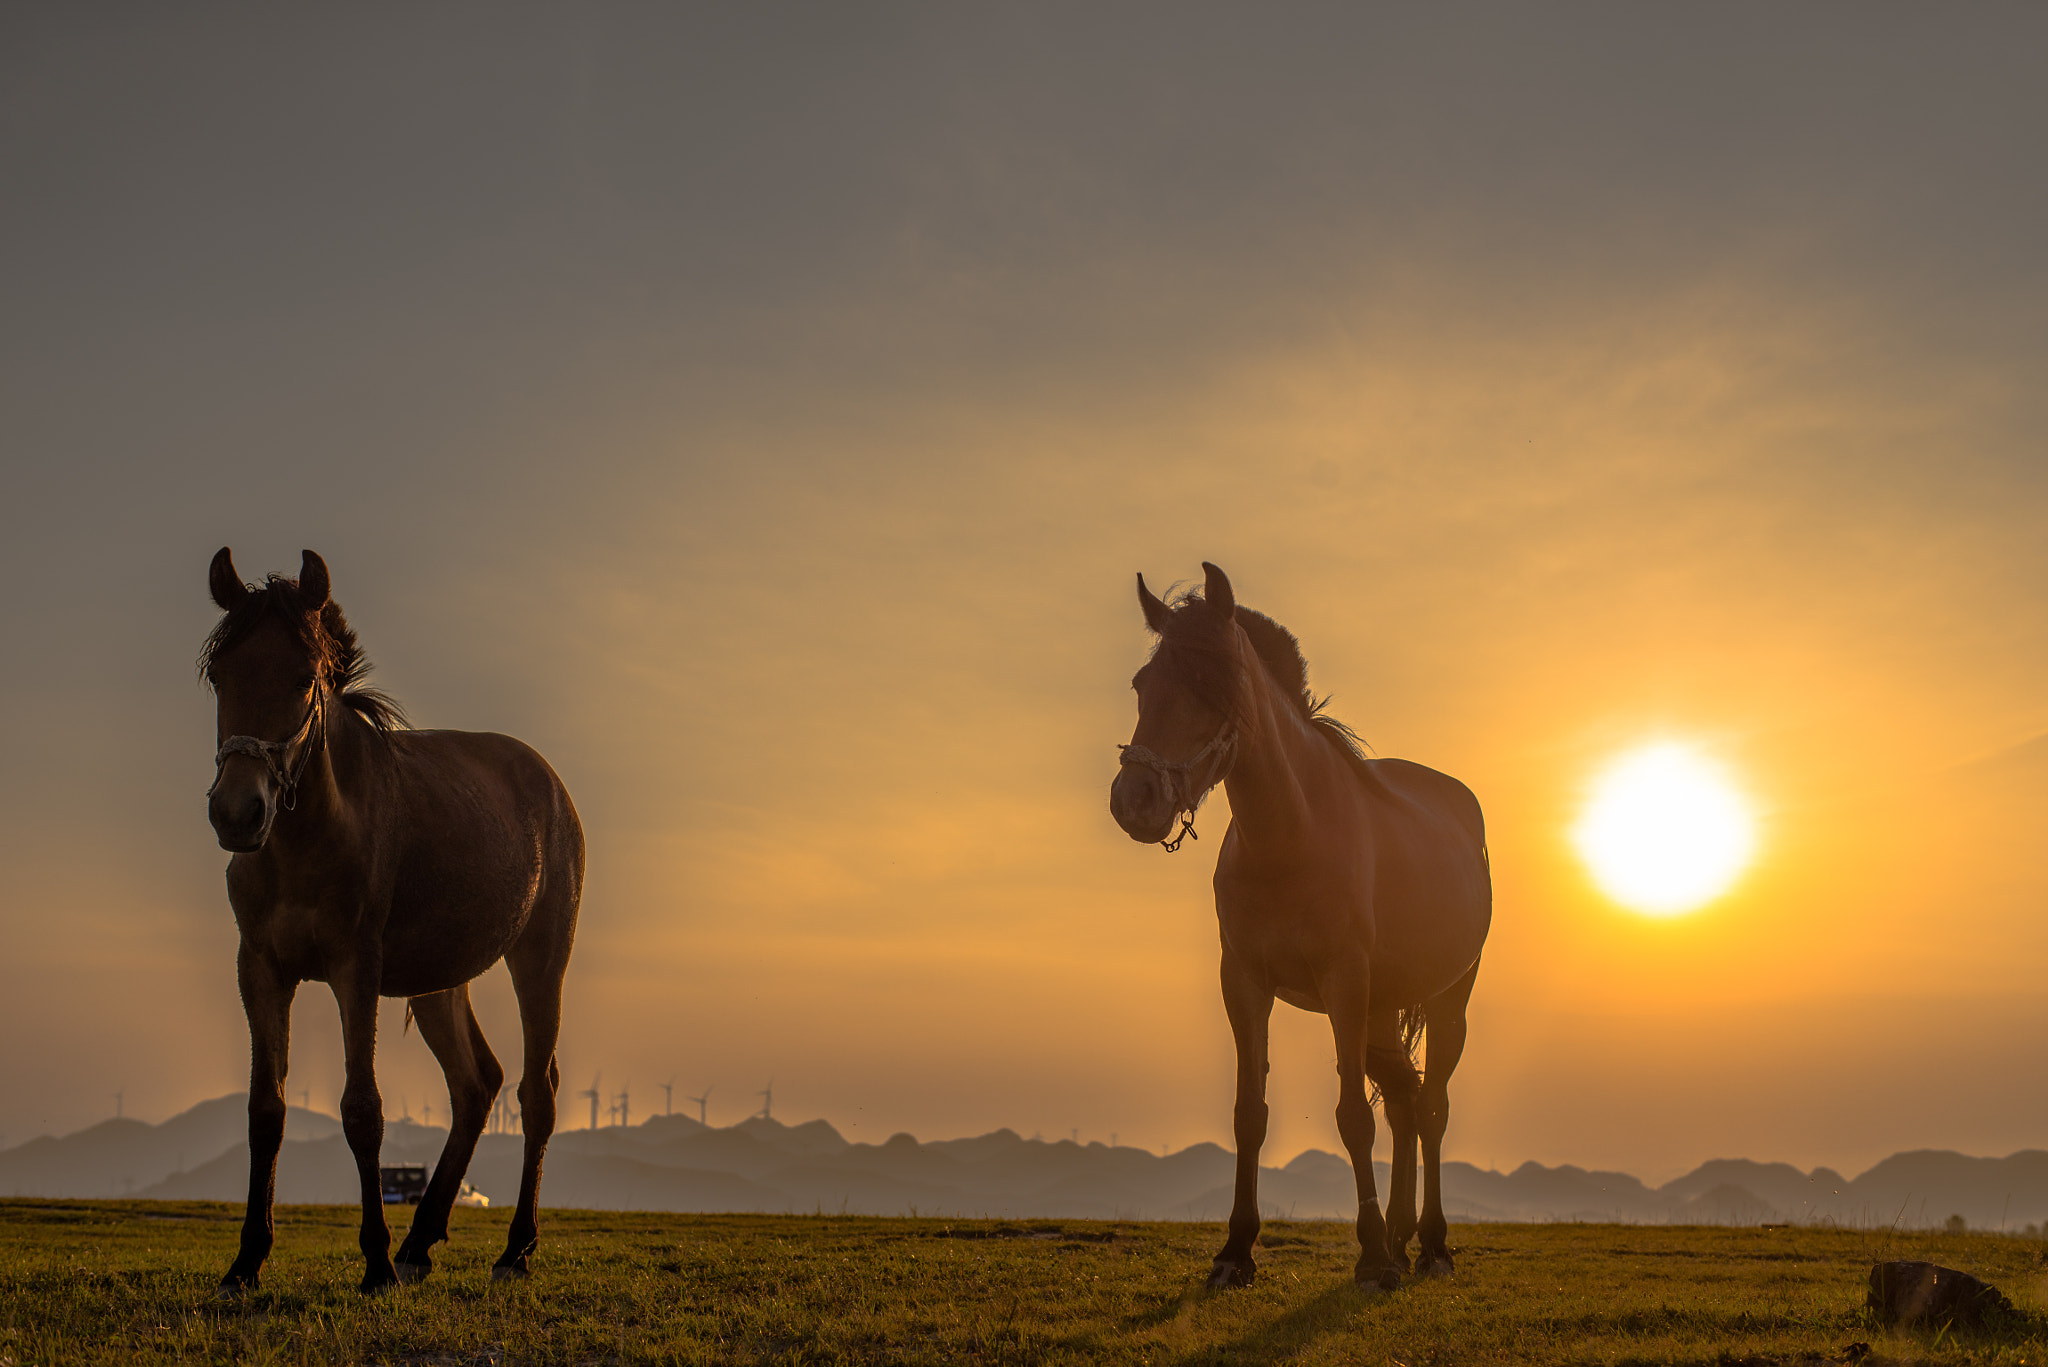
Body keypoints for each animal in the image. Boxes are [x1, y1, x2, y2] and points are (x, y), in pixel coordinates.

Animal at [201, 549, 585, 1295]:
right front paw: (246, 1260)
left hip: (541, 960)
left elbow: (363, 1110)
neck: (309, 839)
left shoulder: (357, 967)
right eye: (218, 676)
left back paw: (513, 1248)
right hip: (439, 982)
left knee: (536, 1092)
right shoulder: (259, 969)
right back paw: (421, 1240)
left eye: (303, 678)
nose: (237, 812)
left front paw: (373, 1262)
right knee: (476, 1085)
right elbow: (266, 1109)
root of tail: (549, 781)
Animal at [1114, 565, 1499, 1295]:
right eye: (1143, 684)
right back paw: (1403, 1236)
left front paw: (1371, 1258)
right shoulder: (1243, 981)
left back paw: (1429, 1245)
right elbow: (1250, 1114)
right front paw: (1236, 1250)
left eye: (1216, 685)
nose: (1134, 800)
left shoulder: (1344, 982)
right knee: (1405, 1102)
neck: (1289, 837)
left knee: (1432, 1107)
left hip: (1446, 1000)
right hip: (1381, 1010)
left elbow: (1352, 1117)